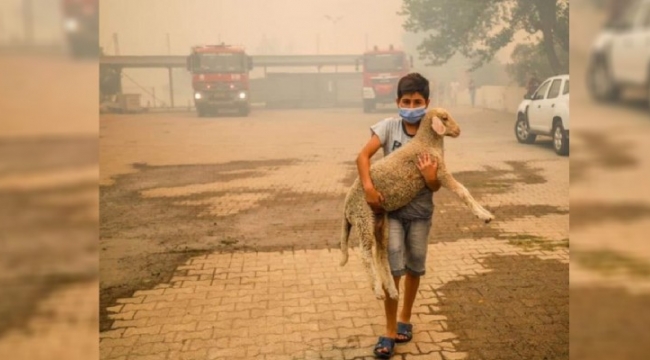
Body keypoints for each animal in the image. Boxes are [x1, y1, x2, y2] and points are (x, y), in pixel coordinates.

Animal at [340, 108, 492, 300]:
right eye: (444, 118)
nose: (458, 131)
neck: (426, 143)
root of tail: (346, 208)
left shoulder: (434, 172)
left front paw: (487, 214)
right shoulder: (440, 172)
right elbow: (463, 191)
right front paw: (483, 215)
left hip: (379, 222)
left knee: (380, 254)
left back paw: (391, 289)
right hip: (363, 217)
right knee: (365, 253)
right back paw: (378, 290)